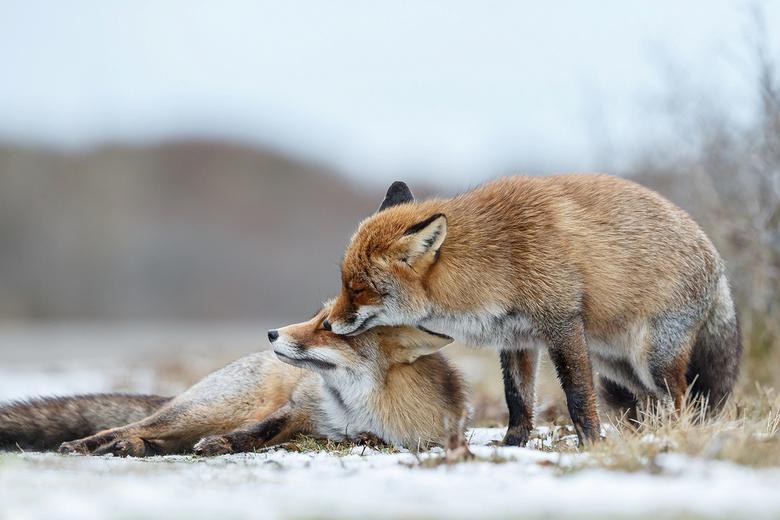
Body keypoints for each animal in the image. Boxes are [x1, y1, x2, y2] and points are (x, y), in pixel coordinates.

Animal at [0, 306, 470, 458]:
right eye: (318, 316)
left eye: (330, 327)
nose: (272, 333)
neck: (356, 407)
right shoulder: (299, 407)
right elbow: (257, 432)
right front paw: (224, 445)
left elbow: (367, 439)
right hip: (209, 409)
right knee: (131, 424)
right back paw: (96, 444)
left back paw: (133, 447)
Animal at [326, 177, 748, 444]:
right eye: (343, 283)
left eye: (358, 289)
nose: (328, 322)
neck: (494, 262)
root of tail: (717, 259)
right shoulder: (517, 340)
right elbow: (517, 400)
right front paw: (513, 445)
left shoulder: (562, 325)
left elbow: (578, 396)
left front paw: (591, 444)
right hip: (619, 366)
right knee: (654, 401)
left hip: (652, 360)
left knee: (681, 400)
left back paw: (674, 437)